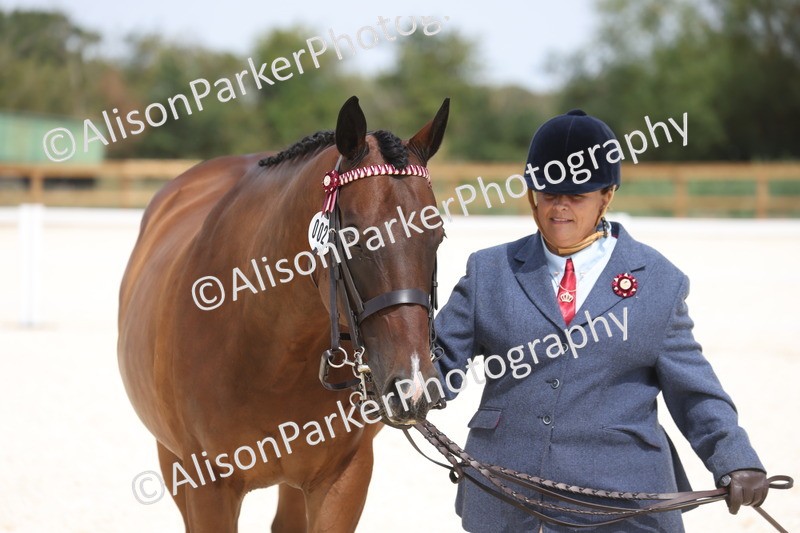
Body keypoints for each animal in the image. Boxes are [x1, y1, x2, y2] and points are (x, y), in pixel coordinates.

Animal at [117, 96, 450, 532]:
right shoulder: (208, 486)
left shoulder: (345, 476)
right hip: (171, 459)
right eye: (353, 237)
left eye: (437, 236)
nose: (413, 387)